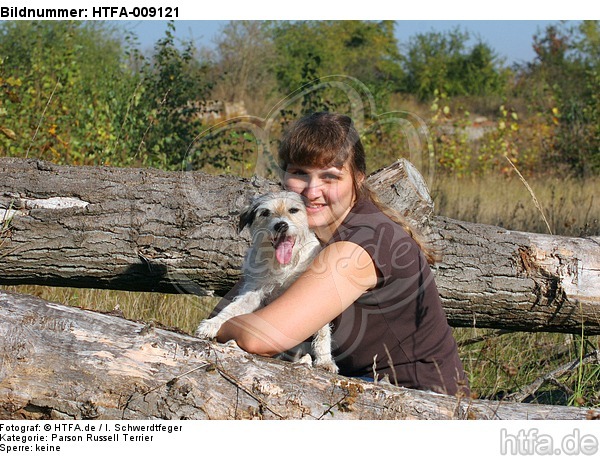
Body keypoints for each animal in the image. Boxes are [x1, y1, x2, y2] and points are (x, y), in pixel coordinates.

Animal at [196, 191, 338, 372]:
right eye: (265, 213)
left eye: (293, 210)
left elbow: (323, 332)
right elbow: (232, 308)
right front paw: (212, 324)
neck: (284, 265)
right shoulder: (255, 292)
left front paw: (325, 360)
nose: (281, 225)